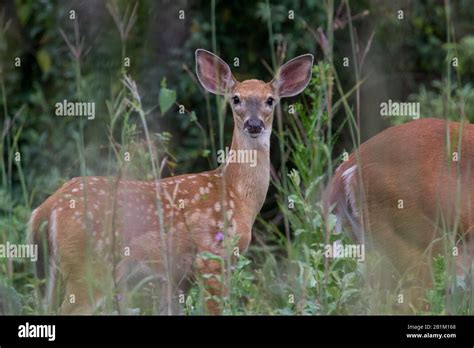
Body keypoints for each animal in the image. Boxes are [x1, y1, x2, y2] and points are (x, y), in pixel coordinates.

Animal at [27, 49, 312, 316]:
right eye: (236, 99)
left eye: (270, 100)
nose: (254, 124)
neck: (237, 195)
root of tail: (47, 208)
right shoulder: (211, 257)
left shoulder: (177, 276)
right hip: (89, 264)